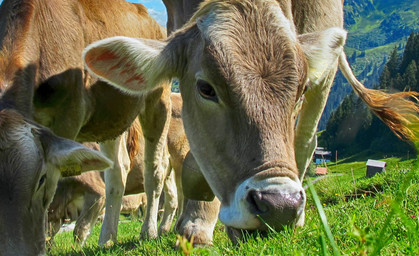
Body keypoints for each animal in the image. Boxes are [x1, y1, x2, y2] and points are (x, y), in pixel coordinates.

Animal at [0, 0, 171, 253]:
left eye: (40, 179)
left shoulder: (67, 119)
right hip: (111, 117)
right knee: (118, 171)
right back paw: (107, 238)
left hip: (158, 99)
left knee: (155, 169)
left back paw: (148, 232)